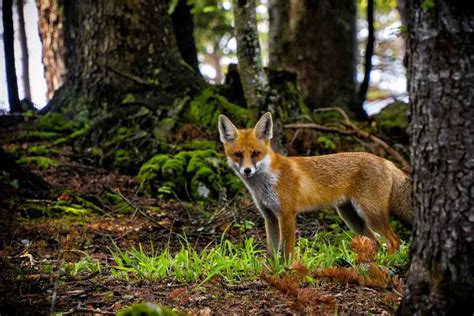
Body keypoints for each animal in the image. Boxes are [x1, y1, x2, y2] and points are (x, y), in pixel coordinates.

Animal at [218, 112, 412, 260]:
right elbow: (272, 252)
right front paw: (270, 272)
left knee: (394, 241)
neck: (266, 182)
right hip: (351, 217)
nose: (247, 170)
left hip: (370, 213)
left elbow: (287, 251)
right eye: (238, 154)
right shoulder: (269, 216)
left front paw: (287, 271)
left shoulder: (287, 214)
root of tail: (386, 161)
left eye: (256, 153)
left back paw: (386, 263)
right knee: (377, 241)